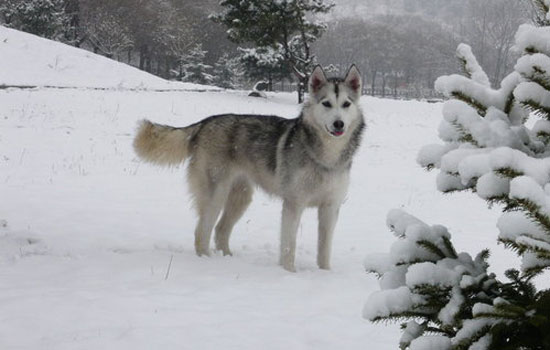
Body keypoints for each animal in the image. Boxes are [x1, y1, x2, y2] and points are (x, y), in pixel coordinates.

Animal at [134, 65, 366, 272]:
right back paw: (208, 263)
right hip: (216, 195)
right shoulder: (293, 204)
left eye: (346, 104)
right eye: (326, 103)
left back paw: (228, 258)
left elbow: (324, 250)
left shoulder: (330, 207)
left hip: (241, 197)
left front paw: (325, 274)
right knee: (201, 232)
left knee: (220, 230)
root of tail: (205, 123)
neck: (326, 157)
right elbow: (289, 247)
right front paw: (289, 274)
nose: (338, 124)